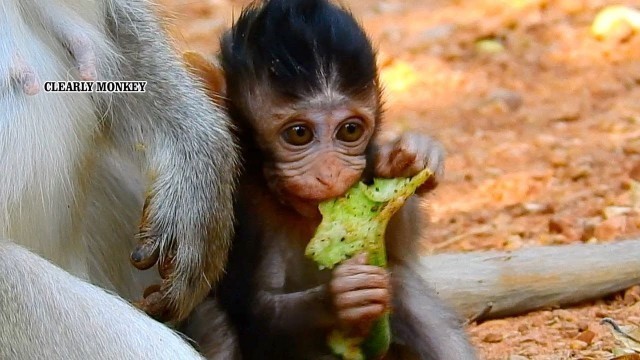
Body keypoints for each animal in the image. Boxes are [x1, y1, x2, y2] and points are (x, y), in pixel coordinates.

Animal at [182, 0, 478, 358]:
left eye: (350, 130)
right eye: (299, 134)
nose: (331, 173)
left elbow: (396, 253)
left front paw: (409, 157)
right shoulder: (233, 196)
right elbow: (254, 308)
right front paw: (340, 299)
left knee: (403, 287)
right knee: (214, 320)